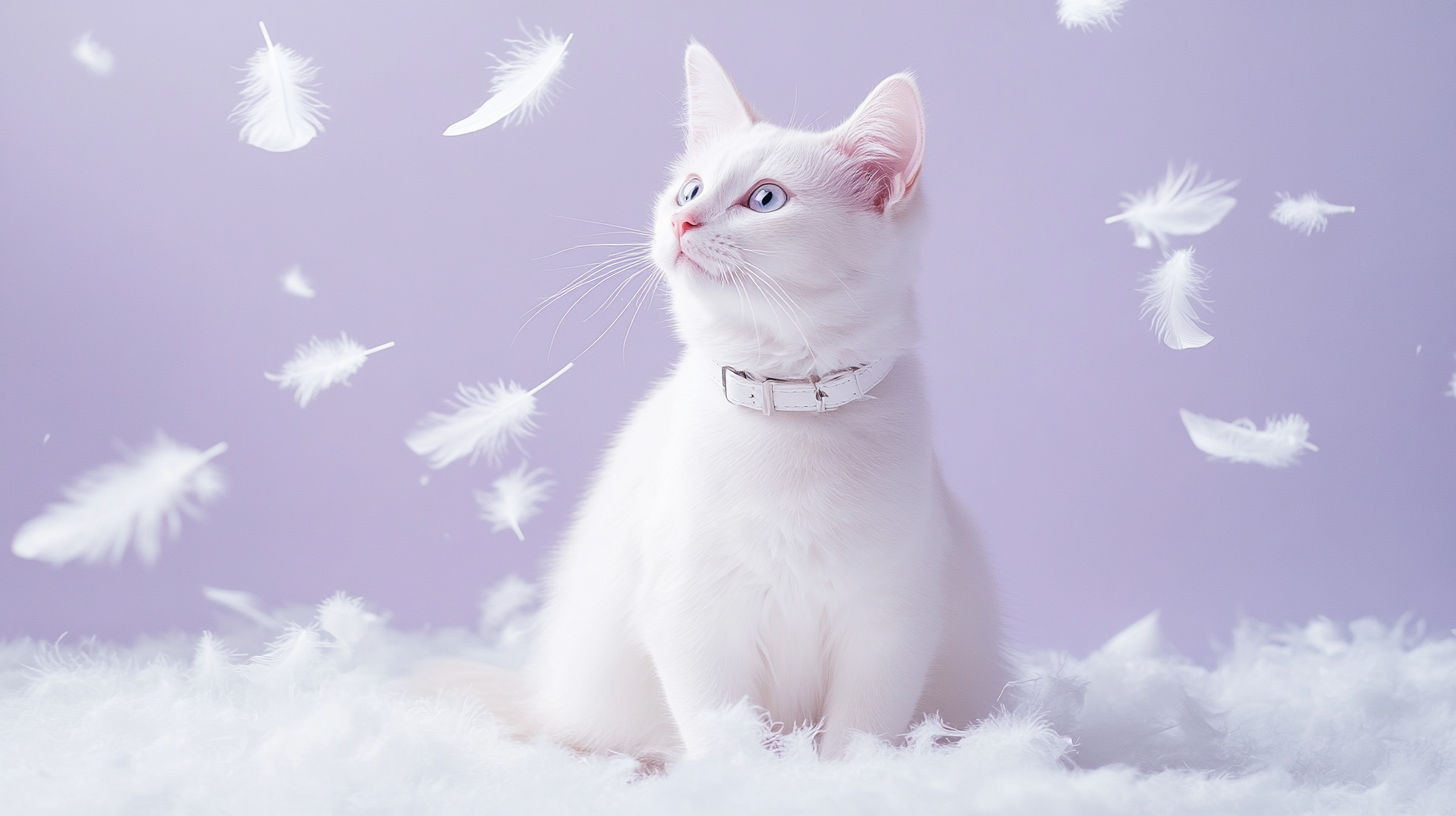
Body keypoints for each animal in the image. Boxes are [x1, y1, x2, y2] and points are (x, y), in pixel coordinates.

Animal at [529, 42, 1007, 757]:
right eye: (690, 188)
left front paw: (865, 775)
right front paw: (745, 774)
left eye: (766, 199)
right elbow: (725, 730)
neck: (789, 409)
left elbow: (858, 736)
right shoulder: (691, 616)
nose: (683, 219)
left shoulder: (890, 624)